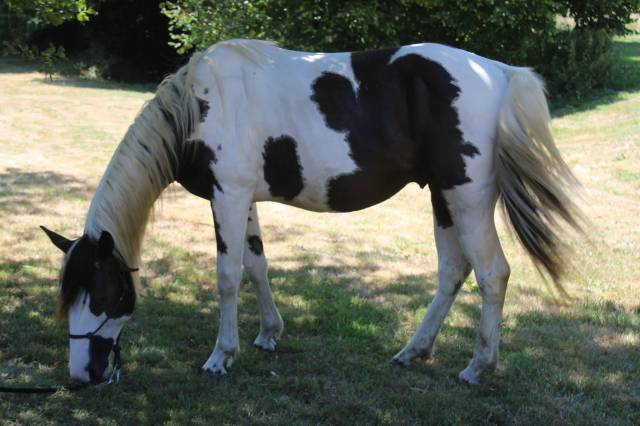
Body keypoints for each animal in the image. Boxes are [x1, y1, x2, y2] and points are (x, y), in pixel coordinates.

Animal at [41, 39, 582, 385]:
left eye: (103, 295)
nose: (81, 375)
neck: (201, 105)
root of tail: (500, 72)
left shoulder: (228, 197)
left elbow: (227, 276)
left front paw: (221, 356)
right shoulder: (244, 200)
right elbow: (257, 265)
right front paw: (268, 335)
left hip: (465, 198)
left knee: (492, 274)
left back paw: (476, 368)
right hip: (442, 198)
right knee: (453, 270)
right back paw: (412, 351)